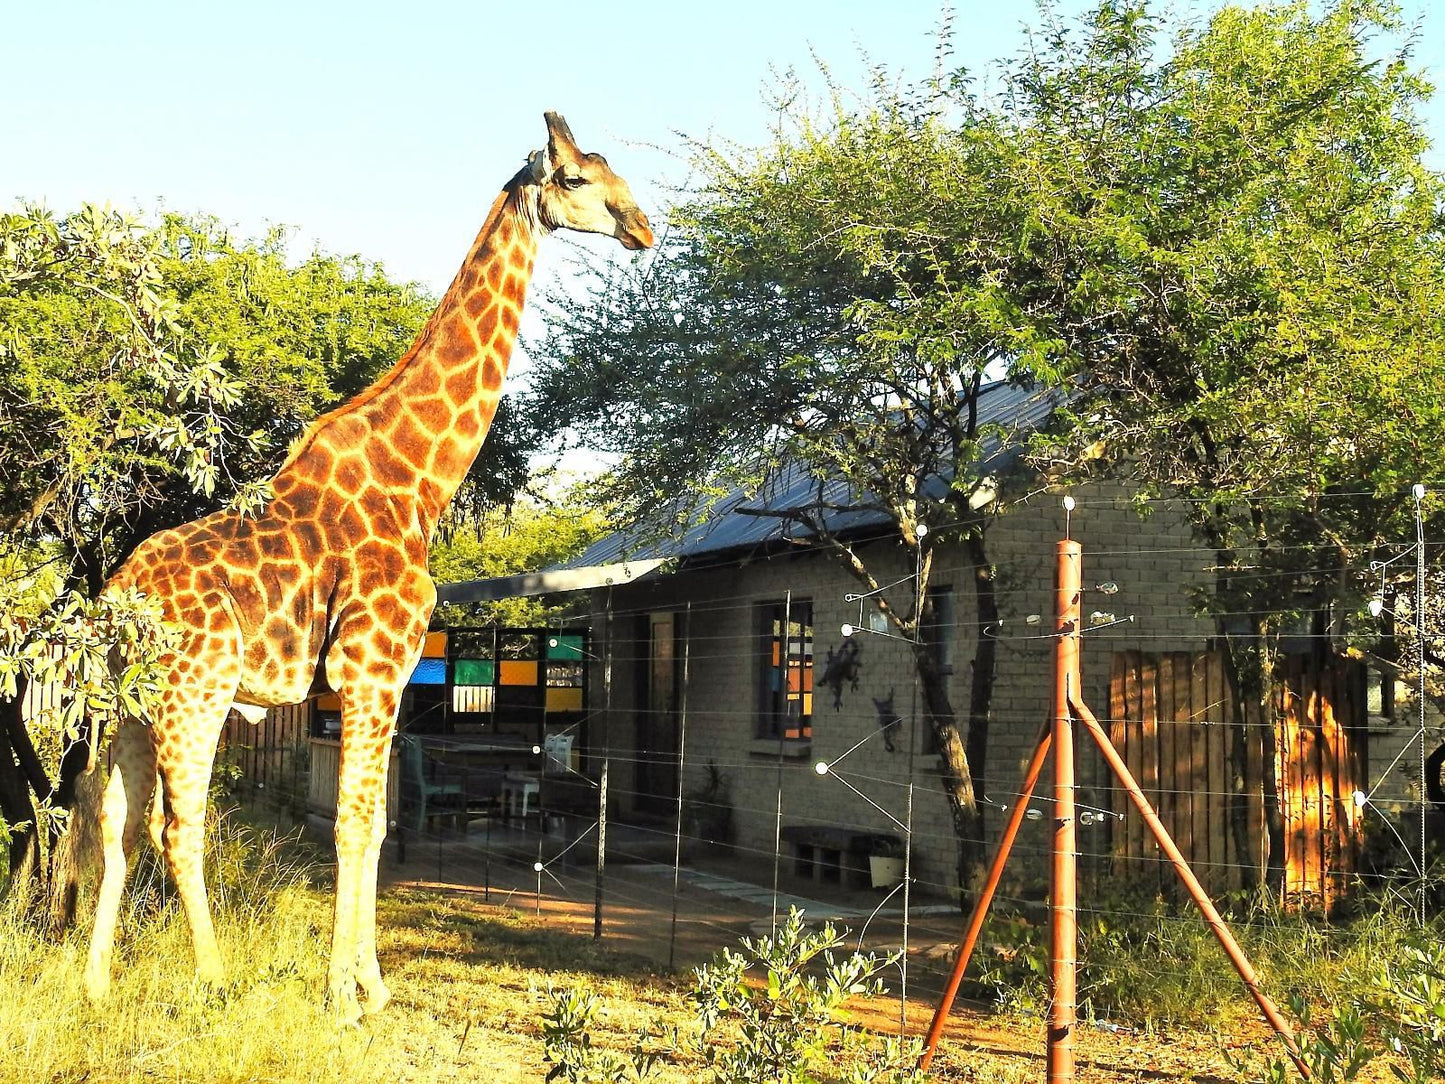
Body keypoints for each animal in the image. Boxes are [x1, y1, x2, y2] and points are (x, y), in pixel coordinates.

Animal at [82, 114, 658, 1023]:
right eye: (573, 178)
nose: (642, 228)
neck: (418, 480)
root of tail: (117, 597)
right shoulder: (374, 667)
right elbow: (358, 823)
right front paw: (345, 996)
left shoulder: (376, 677)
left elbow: (376, 824)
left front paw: (373, 984)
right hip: (195, 691)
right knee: (181, 825)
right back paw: (213, 979)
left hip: (130, 699)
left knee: (116, 819)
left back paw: (96, 983)